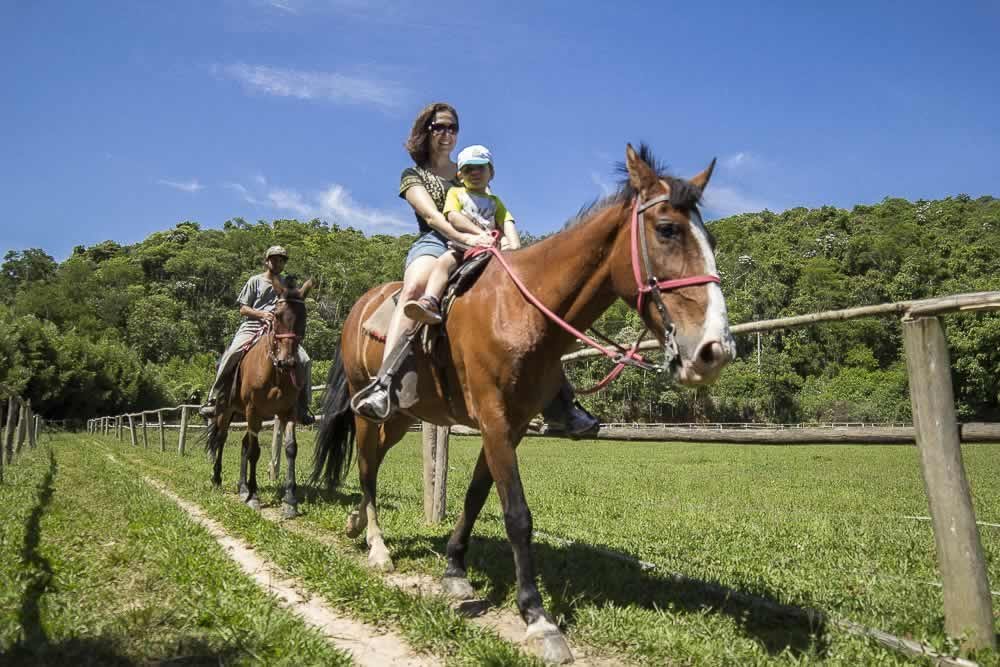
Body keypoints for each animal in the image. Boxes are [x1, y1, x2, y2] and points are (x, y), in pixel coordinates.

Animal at [204, 276, 310, 516]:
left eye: (304, 317)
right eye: (277, 315)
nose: (288, 362)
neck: (275, 372)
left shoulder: (287, 411)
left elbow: (290, 449)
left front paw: (290, 500)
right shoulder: (254, 410)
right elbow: (254, 451)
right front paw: (253, 495)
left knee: (243, 443)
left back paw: (242, 486)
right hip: (227, 412)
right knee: (221, 440)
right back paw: (218, 479)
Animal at [312, 146, 736, 664]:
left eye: (708, 237)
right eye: (668, 230)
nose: (714, 351)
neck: (520, 309)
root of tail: (360, 307)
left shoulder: (509, 426)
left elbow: (476, 496)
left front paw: (455, 571)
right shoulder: (493, 419)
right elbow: (517, 514)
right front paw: (537, 617)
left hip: (400, 418)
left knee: (370, 466)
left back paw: (356, 525)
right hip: (367, 412)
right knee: (367, 470)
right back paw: (376, 546)